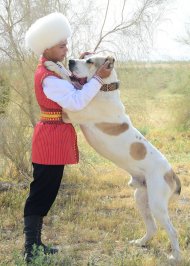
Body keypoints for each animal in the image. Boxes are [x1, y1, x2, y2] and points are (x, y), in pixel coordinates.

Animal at [44, 55, 181, 260]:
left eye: (90, 61)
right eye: (83, 57)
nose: (71, 60)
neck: (104, 90)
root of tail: (171, 173)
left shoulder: (72, 110)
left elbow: (67, 79)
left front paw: (53, 65)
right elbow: (71, 79)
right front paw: (58, 65)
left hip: (157, 204)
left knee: (172, 231)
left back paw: (175, 257)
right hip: (141, 198)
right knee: (153, 227)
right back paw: (140, 242)